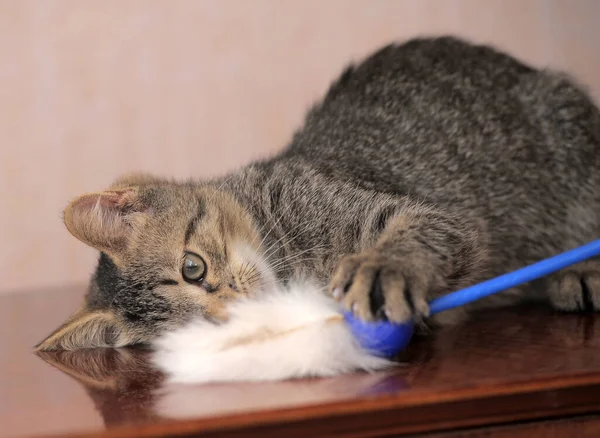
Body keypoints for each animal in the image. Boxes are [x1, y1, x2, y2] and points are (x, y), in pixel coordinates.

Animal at [36, 36, 600, 352]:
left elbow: (415, 237)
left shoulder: (423, 214)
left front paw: (385, 268)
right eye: (201, 330)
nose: (237, 312)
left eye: (192, 268)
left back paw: (580, 274)